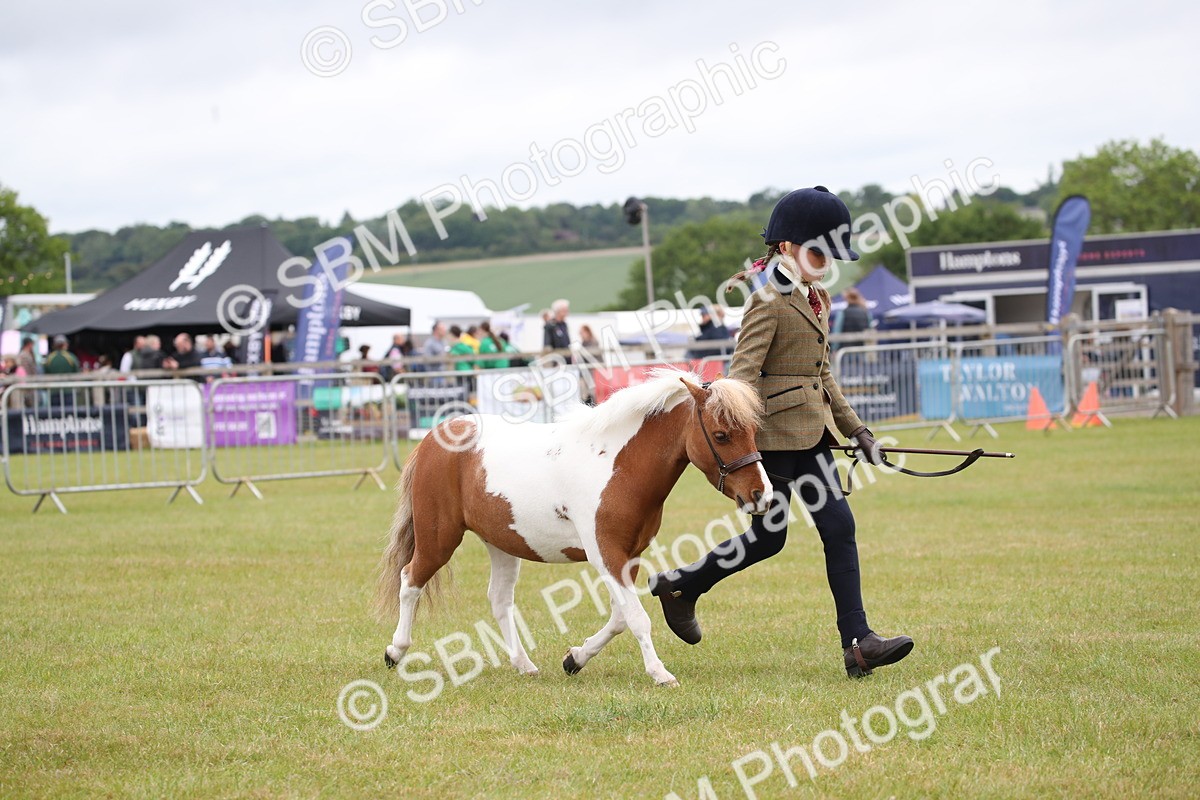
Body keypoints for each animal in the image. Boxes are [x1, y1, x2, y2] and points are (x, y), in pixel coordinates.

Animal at [374, 369, 771, 687]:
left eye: (753, 430)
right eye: (721, 435)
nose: (762, 495)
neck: (619, 465)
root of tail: (436, 436)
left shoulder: (628, 557)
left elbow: (619, 618)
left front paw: (575, 659)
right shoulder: (606, 555)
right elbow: (637, 618)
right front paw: (660, 674)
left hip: (501, 543)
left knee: (499, 600)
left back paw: (524, 665)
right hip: (439, 538)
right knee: (410, 581)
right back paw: (395, 651)